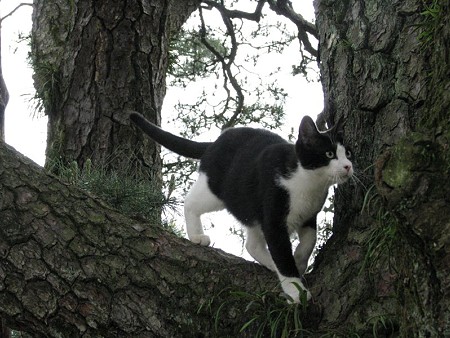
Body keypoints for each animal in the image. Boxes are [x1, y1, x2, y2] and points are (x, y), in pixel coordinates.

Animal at [128, 112, 354, 302]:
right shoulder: (273, 219)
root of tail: (215, 142)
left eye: (349, 153)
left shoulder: (308, 215)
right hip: (219, 191)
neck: (308, 182)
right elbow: (282, 253)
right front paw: (295, 289)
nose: (348, 166)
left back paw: (270, 263)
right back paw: (197, 236)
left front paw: (298, 261)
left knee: (252, 244)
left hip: (250, 207)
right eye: (329, 154)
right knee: (190, 202)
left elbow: (310, 240)